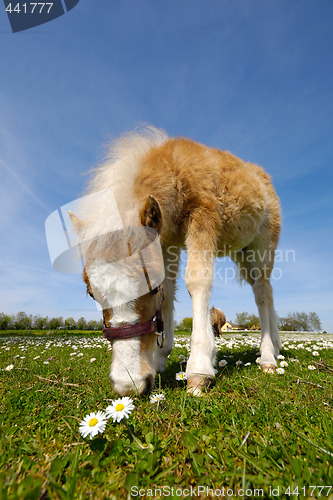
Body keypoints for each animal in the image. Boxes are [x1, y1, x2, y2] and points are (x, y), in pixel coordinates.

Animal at [69, 127, 280, 396]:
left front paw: (199, 371)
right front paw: (159, 359)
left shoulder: (203, 214)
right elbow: (169, 292)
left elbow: (197, 280)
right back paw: (277, 345)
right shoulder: (166, 241)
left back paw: (268, 357)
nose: (128, 386)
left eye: (151, 290)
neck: (175, 170)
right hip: (241, 250)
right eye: (92, 294)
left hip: (263, 243)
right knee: (265, 292)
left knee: (263, 292)